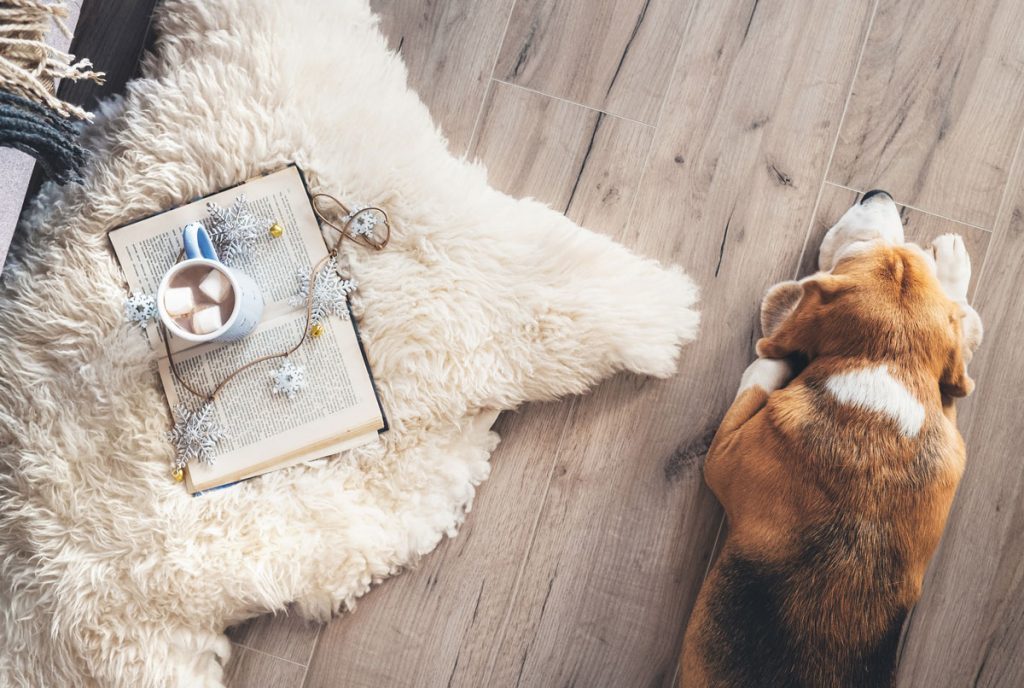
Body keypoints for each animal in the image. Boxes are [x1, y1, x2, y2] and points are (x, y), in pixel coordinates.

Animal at [679, 192, 983, 688]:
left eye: (857, 249)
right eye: (907, 253)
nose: (878, 193)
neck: (886, 365)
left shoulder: (721, 458)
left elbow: (758, 377)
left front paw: (776, 356)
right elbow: (959, 327)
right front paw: (952, 270)